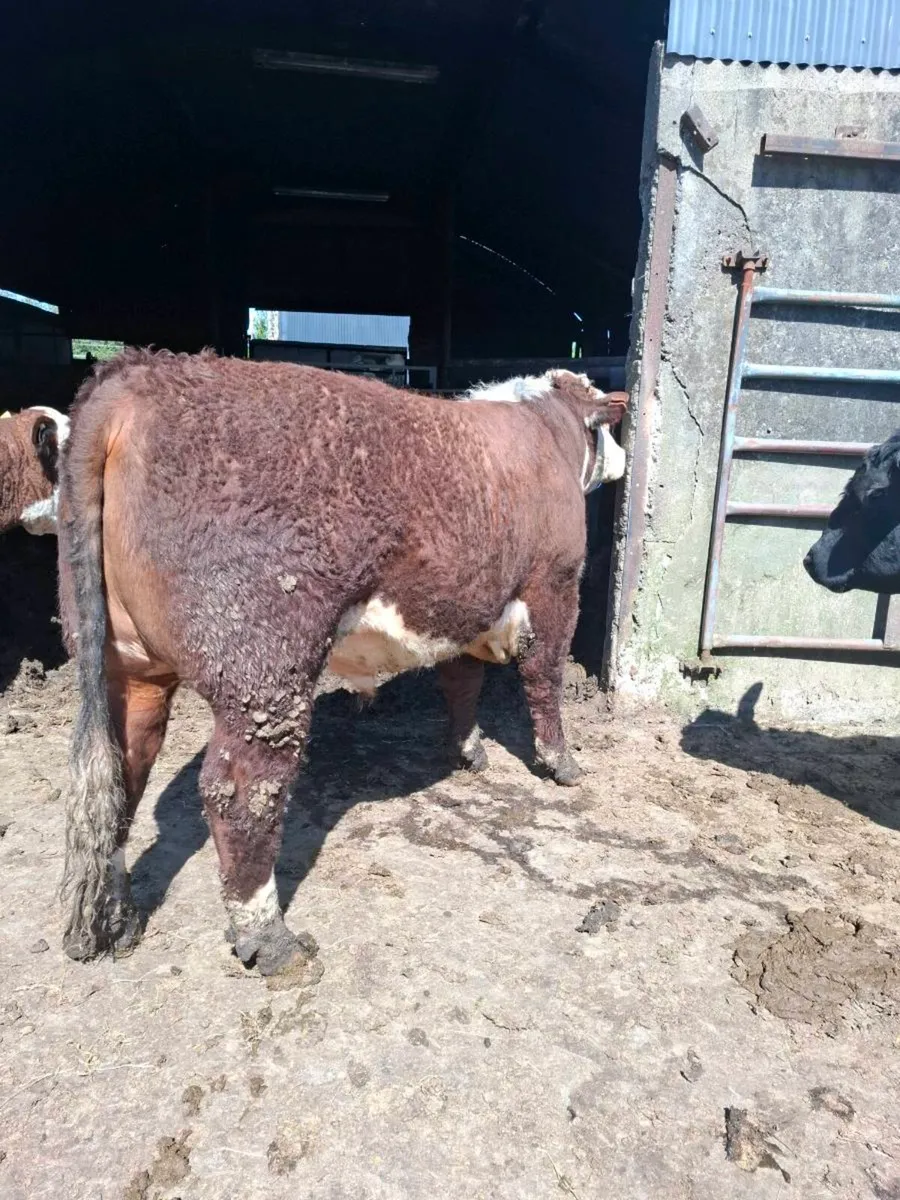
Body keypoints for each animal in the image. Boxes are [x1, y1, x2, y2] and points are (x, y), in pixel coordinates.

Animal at [58, 350, 628, 975]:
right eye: (608, 428)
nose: (624, 460)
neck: (543, 429)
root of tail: (135, 372)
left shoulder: (461, 606)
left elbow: (462, 681)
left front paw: (468, 750)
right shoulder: (556, 584)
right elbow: (544, 677)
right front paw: (561, 763)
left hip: (127, 668)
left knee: (121, 771)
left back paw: (116, 921)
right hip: (264, 674)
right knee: (239, 790)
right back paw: (270, 938)